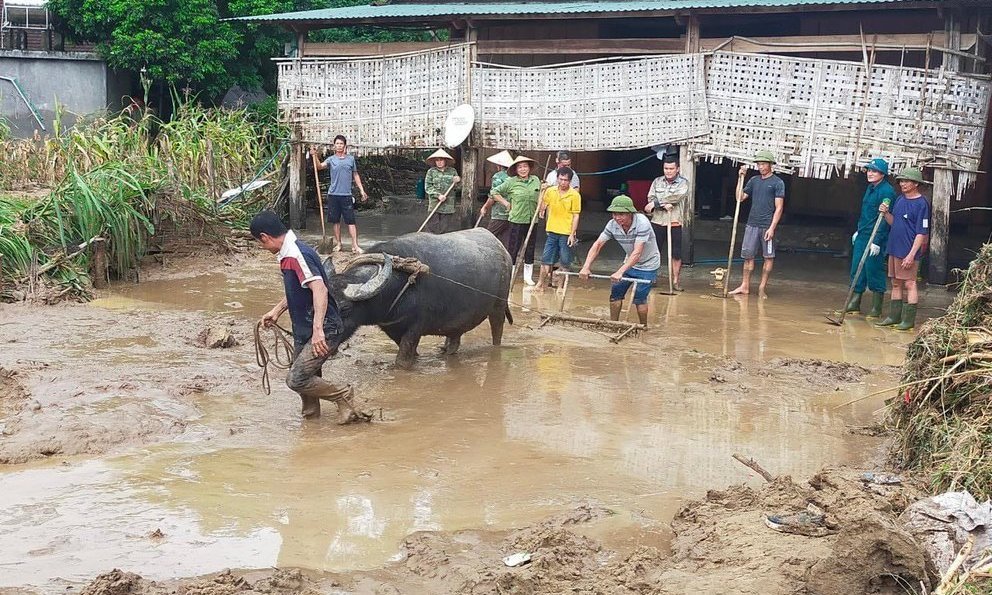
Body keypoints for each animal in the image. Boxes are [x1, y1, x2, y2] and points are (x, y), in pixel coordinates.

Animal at [328, 228, 512, 368]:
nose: (326, 342)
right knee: (454, 339)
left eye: (345, 308)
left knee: (497, 330)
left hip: (499, 306)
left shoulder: (415, 328)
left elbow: (402, 361)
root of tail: (503, 251)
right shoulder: (393, 328)